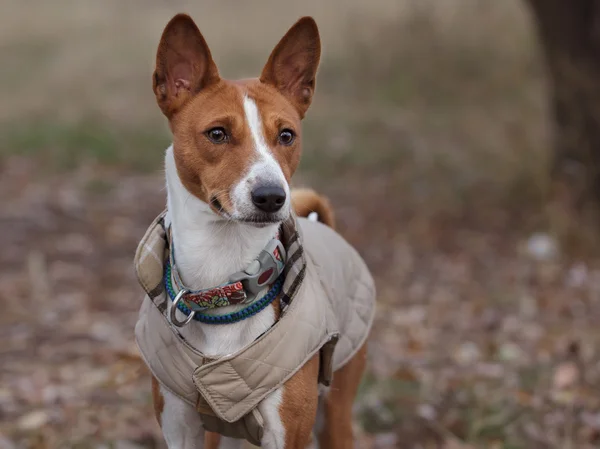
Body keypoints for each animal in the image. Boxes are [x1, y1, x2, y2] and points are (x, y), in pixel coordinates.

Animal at [135, 14, 376, 448]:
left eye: (287, 135)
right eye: (217, 133)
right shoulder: (180, 426)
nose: (272, 196)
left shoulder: (287, 433)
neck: (220, 279)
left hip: (335, 411)